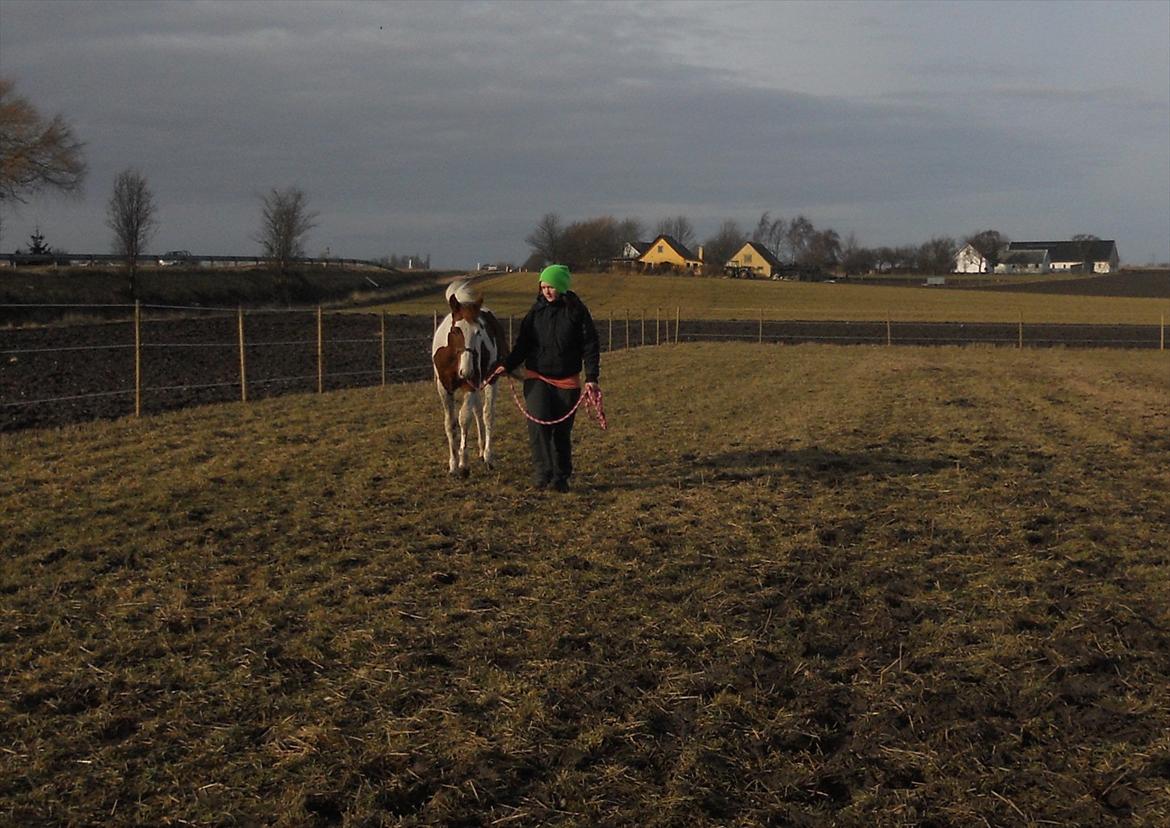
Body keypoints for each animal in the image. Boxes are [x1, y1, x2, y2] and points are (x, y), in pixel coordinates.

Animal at [428, 278, 505, 474]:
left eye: (478, 331)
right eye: (456, 330)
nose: (467, 371)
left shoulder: (470, 385)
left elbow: (464, 419)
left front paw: (463, 462)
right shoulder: (444, 388)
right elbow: (450, 423)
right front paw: (453, 464)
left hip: (492, 380)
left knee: (487, 414)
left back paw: (488, 456)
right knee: (478, 410)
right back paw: (481, 450)